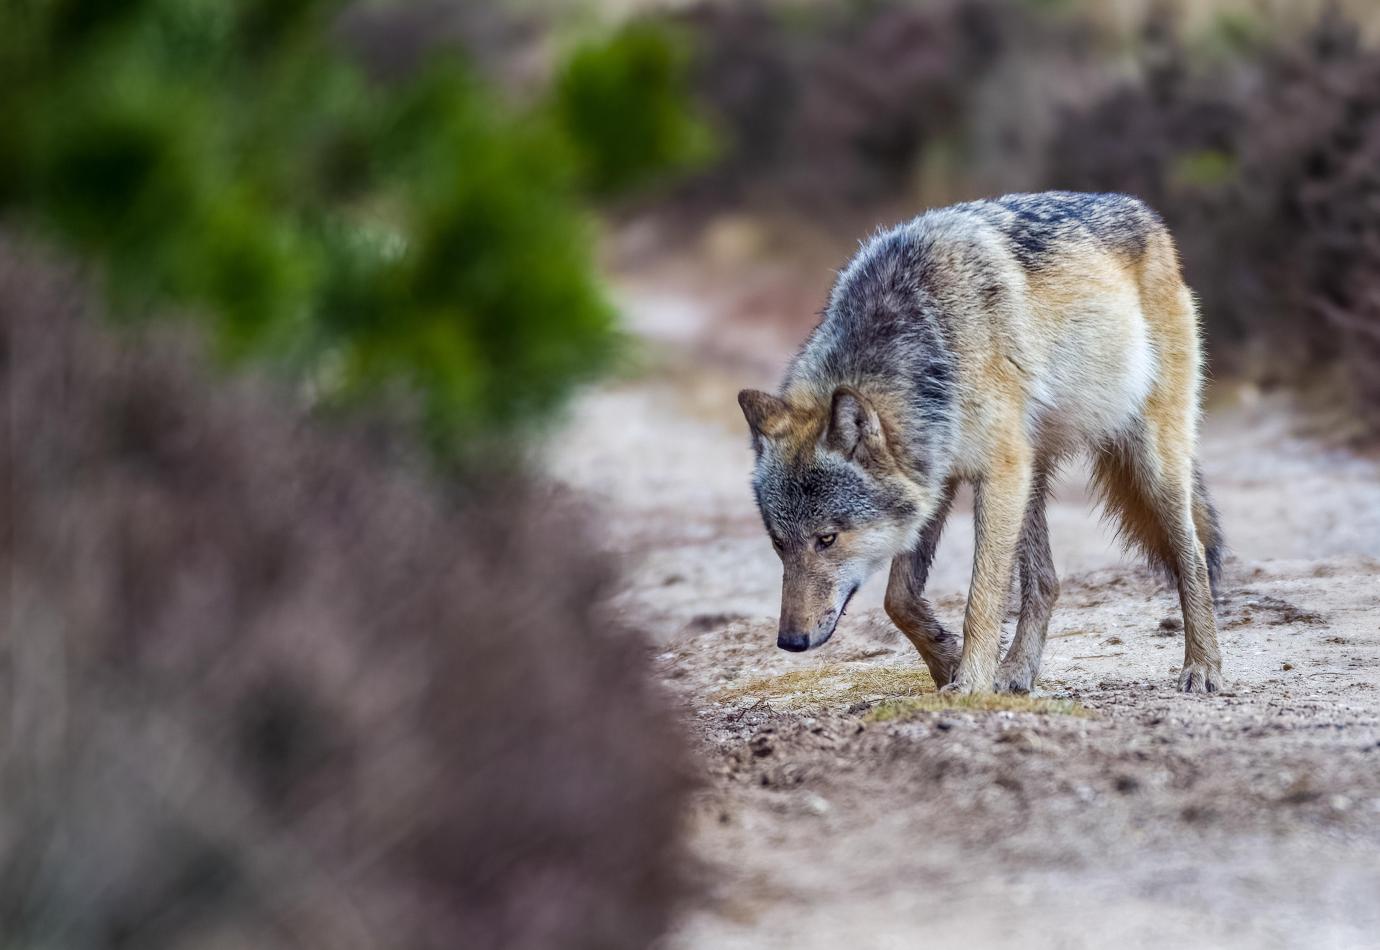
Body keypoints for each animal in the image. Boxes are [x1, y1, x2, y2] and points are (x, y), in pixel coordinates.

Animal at [739, 192, 1224, 694]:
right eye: (779, 543)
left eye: (827, 539)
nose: (791, 641)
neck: (925, 342)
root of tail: (1146, 214)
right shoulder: (938, 477)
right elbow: (899, 599)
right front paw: (946, 662)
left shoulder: (996, 472)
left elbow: (983, 598)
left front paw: (970, 682)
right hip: (1033, 475)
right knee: (1046, 581)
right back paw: (1016, 671)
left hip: (1148, 464)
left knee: (1193, 557)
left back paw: (1203, 667)